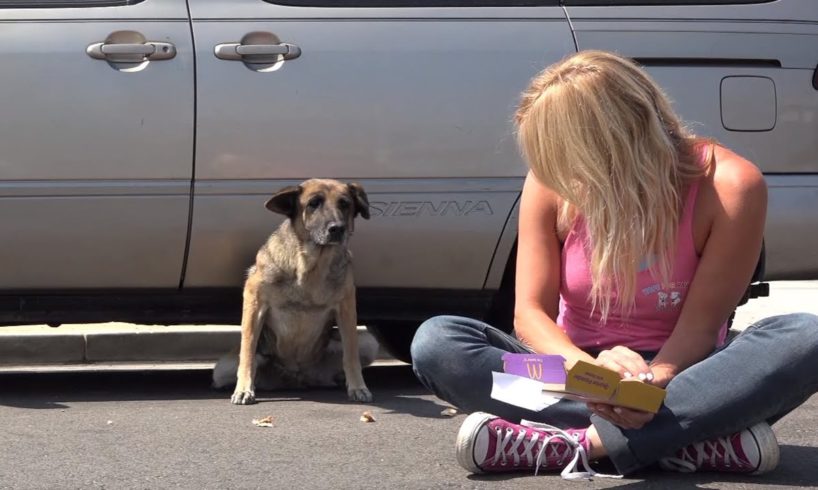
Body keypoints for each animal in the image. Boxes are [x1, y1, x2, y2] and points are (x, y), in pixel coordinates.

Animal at [210, 178, 376, 404]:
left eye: (345, 204)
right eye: (314, 203)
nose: (337, 229)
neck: (311, 266)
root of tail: (296, 378)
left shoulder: (347, 310)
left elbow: (351, 356)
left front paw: (358, 387)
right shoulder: (254, 302)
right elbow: (248, 352)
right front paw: (244, 388)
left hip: (367, 342)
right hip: (223, 368)